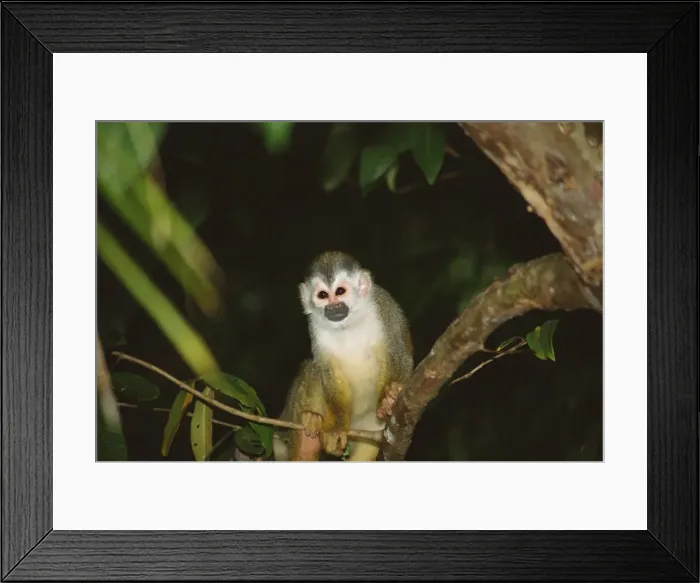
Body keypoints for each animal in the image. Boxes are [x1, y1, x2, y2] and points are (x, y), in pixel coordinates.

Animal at [272, 251, 413, 462]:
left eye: (340, 292)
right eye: (323, 295)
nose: (334, 307)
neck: (348, 323)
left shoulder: (386, 307)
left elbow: (400, 355)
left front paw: (388, 397)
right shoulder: (314, 327)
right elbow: (329, 374)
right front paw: (336, 427)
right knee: (313, 368)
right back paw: (306, 446)